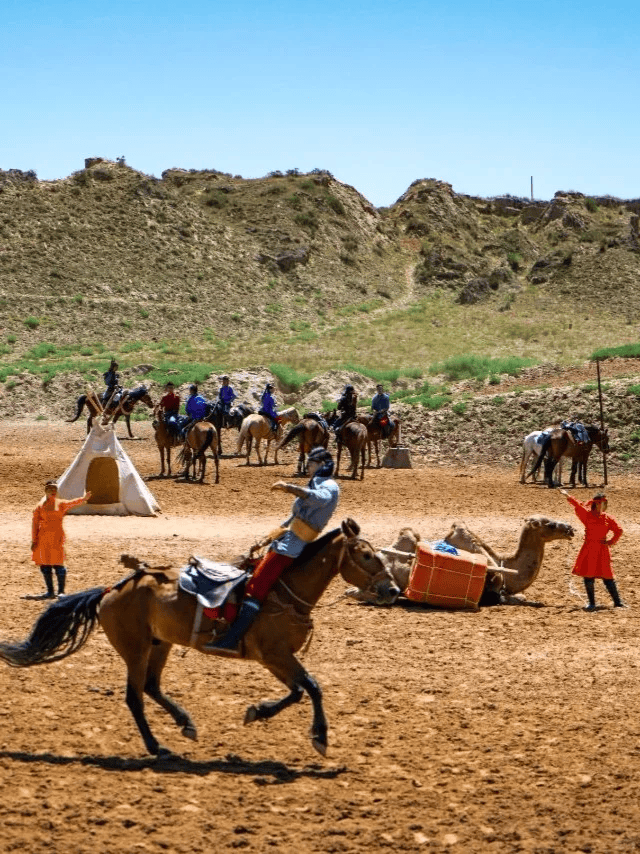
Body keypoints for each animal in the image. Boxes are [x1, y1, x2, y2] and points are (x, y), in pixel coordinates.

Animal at [0, 520, 400, 760]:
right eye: (366, 555)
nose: (393, 590)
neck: (282, 591)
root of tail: (110, 590)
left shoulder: (276, 658)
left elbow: (299, 690)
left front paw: (258, 711)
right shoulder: (275, 655)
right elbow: (312, 687)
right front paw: (320, 737)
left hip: (160, 644)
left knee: (151, 687)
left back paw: (185, 724)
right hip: (135, 649)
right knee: (135, 696)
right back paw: (156, 746)